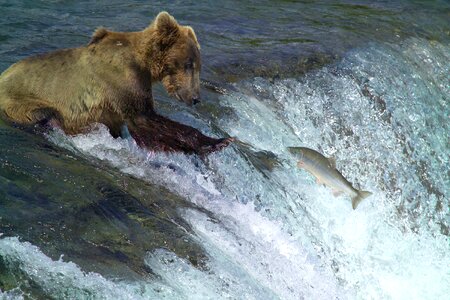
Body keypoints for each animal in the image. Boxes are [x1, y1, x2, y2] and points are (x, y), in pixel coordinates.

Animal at [0, 11, 232, 155]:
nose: (195, 98)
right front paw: (217, 142)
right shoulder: (121, 81)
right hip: (22, 101)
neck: (144, 64)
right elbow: (145, 119)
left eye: (197, 65)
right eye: (189, 64)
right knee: (44, 115)